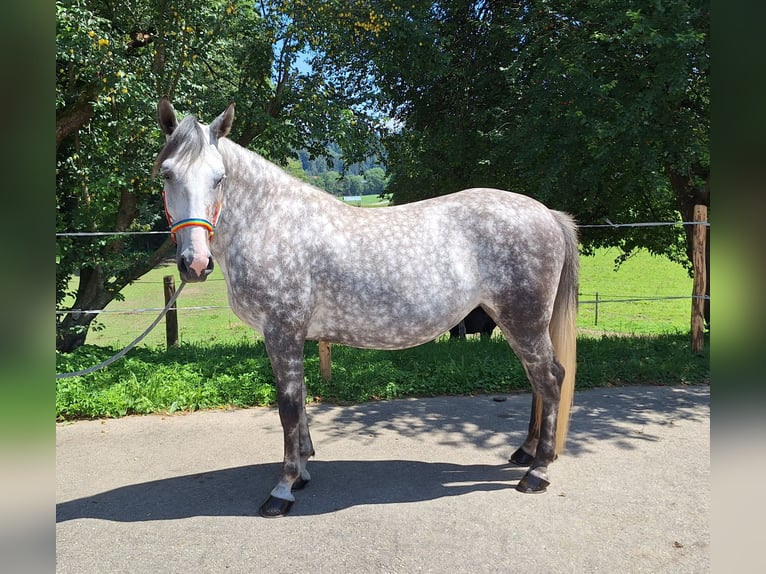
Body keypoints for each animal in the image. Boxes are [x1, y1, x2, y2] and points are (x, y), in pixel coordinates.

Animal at [153, 97, 580, 520]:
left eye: (219, 178)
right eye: (167, 175)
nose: (195, 264)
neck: (273, 224)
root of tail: (548, 214)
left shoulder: (282, 332)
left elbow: (288, 407)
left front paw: (283, 488)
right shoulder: (293, 337)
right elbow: (301, 400)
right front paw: (303, 470)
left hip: (524, 322)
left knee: (550, 380)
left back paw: (537, 471)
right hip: (520, 324)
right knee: (538, 382)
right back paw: (525, 453)